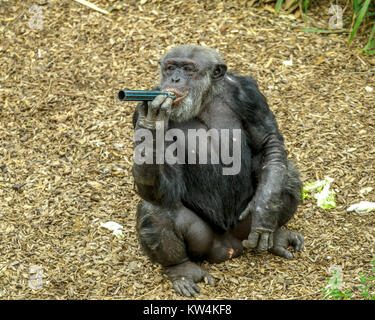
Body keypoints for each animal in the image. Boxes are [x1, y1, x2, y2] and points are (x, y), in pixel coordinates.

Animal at [131, 45, 304, 298]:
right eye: (170, 67)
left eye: (188, 69)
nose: (174, 79)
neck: (204, 99)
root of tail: (229, 248)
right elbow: (166, 184)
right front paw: (151, 121)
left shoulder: (249, 94)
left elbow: (267, 141)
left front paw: (265, 212)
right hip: (204, 243)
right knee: (155, 209)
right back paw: (182, 270)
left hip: (244, 230)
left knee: (285, 175)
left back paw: (276, 235)